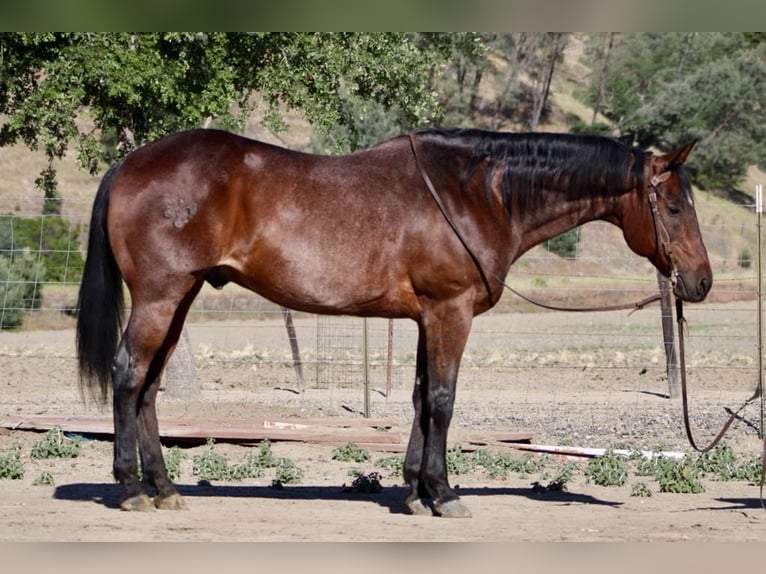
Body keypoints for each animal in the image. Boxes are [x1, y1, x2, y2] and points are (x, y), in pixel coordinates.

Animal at [76, 127, 712, 517]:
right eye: (674, 206)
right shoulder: (450, 311)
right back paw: (131, 489)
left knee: (149, 387)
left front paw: (412, 490)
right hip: (160, 298)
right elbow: (443, 401)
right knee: (129, 375)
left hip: (179, 300)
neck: (480, 194)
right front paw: (444, 494)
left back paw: (164, 488)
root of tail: (130, 163)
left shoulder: (428, 317)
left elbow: (419, 397)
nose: (701, 282)